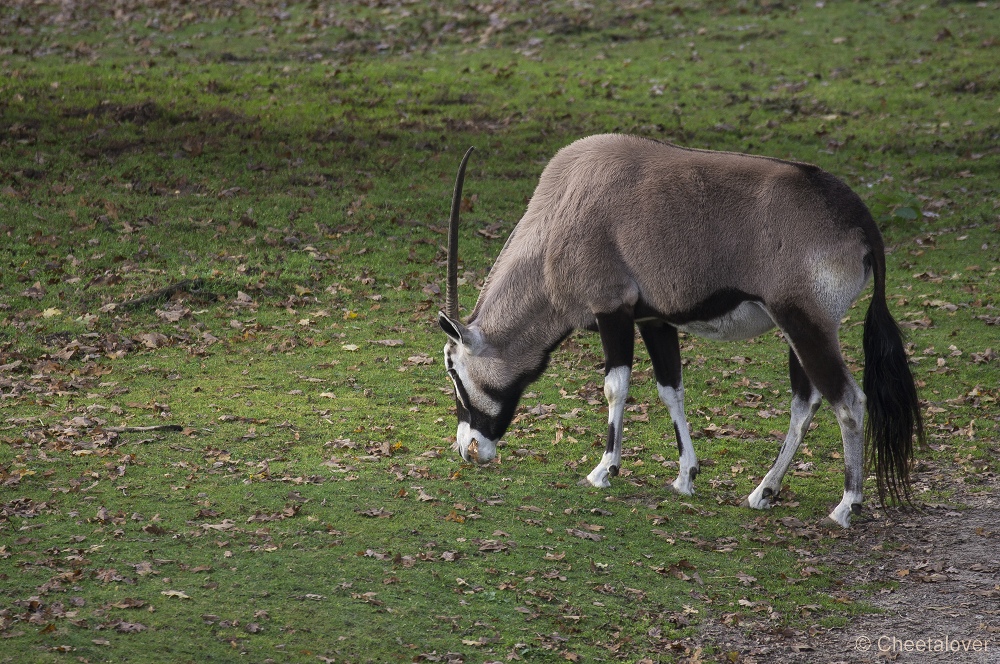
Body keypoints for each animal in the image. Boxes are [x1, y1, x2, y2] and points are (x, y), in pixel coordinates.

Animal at [438, 136, 920, 528]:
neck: (557, 217)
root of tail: (860, 219)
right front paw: (686, 476)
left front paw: (604, 470)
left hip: (807, 327)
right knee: (806, 403)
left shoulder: (613, 309)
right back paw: (764, 491)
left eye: (452, 369)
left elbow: (615, 387)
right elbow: (671, 389)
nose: (468, 449)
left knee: (848, 402)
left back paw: (846, 505)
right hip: (798, 333)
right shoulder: (653, 319)